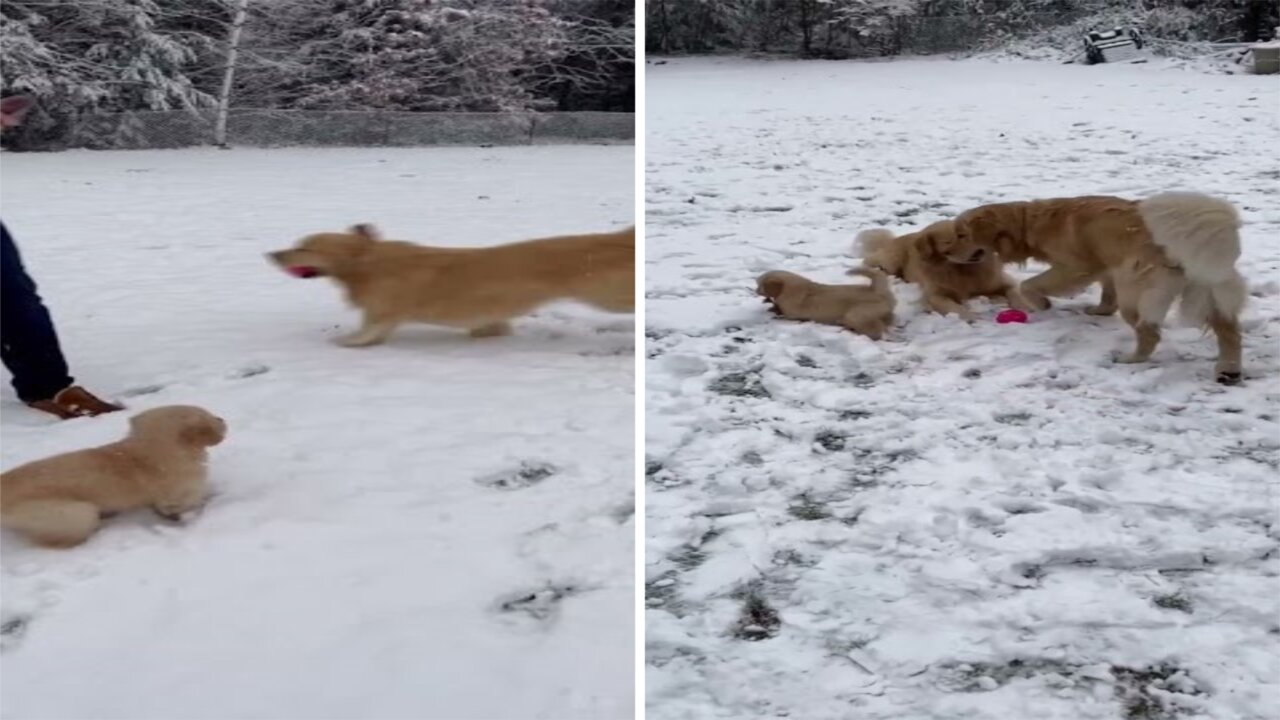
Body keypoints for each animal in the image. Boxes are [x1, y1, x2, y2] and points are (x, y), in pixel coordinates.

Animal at [268, 225, 634, 345]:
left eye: (305, 247)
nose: (270, 254)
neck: (366, 263)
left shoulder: (382, 314)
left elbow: (361, 335)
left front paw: (341, 343)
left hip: (609, 295)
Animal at [752, 266, 896, 338]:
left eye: (760, 285)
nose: (755, 291)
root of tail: (877, 289)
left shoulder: (792, 314)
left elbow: (782, 314)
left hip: (856, 314)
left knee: (876, 330)